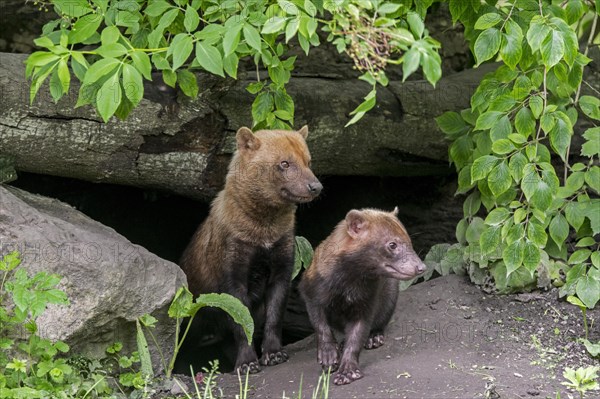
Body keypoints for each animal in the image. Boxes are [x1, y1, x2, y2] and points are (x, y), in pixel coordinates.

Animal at [179, 127, 324, 376]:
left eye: (308, 161)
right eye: (284, 163)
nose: (316, 187)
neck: (262, 235)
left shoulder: (282, 261)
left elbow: (274, 316)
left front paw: (274, 354)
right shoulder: (232, 266)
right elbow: (240, 319)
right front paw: (246, 364)